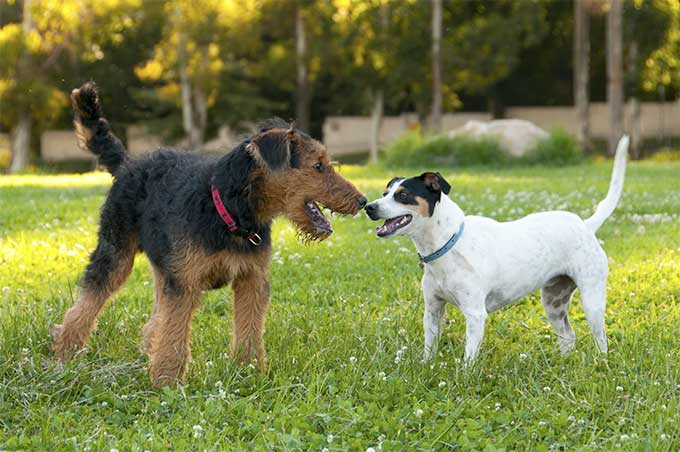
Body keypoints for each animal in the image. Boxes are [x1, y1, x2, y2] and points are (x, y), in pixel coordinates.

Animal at [364, 136, 628, 362]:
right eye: (385, 193)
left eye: (403, 195)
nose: (369, 207)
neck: (448, 244)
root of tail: (585, 224)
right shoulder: (432, 310)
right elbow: (430, 348)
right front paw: (426, 366)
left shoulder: (475, 314)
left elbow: (469, 358)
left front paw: (464, 379)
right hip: (554, 302)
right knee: (568, 335)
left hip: (592, 300)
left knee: (600, 339)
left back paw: (601, 361)